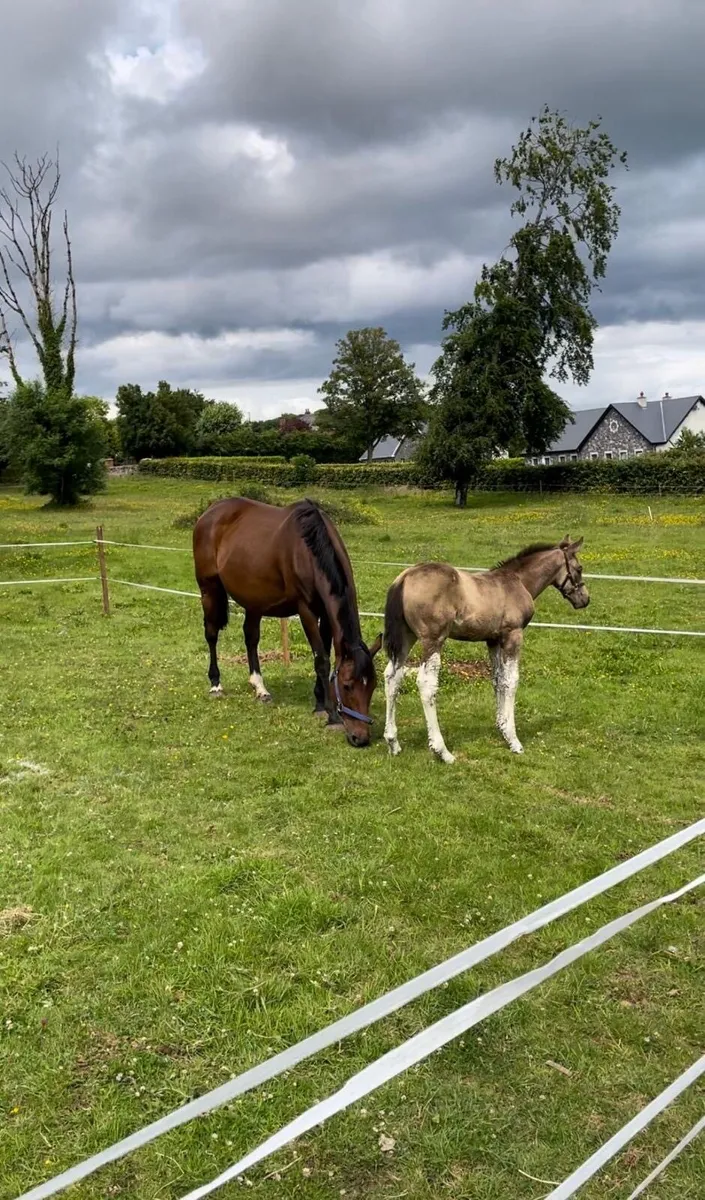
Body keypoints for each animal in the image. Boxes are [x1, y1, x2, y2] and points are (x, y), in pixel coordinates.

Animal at [192, 496, 382, 747]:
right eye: (347, 685)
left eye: (373, 685)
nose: (360, 738)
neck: (308, 550)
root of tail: (210, 511)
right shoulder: (306, 611)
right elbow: (322, 660)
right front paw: (331, 715)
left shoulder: (325, 614)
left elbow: (323, 654)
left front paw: (319, 704)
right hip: (209, 589)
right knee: (211, 634)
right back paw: (216, 685)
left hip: (253, 602)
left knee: (250, 638)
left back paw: (260, 688)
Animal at [382, 536, 589, 764]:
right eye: (579, 568)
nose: (585, 599)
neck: (518, 581)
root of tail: (404, 578)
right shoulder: (513, 635)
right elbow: (511, 681)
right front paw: (513, 740)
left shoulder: (493, 640)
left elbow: (498, 679)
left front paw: (501, 728)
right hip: (433, 639)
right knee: (426, 683)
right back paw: (442, 751)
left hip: (406, 637)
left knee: (392, 676)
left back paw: (393, 742)